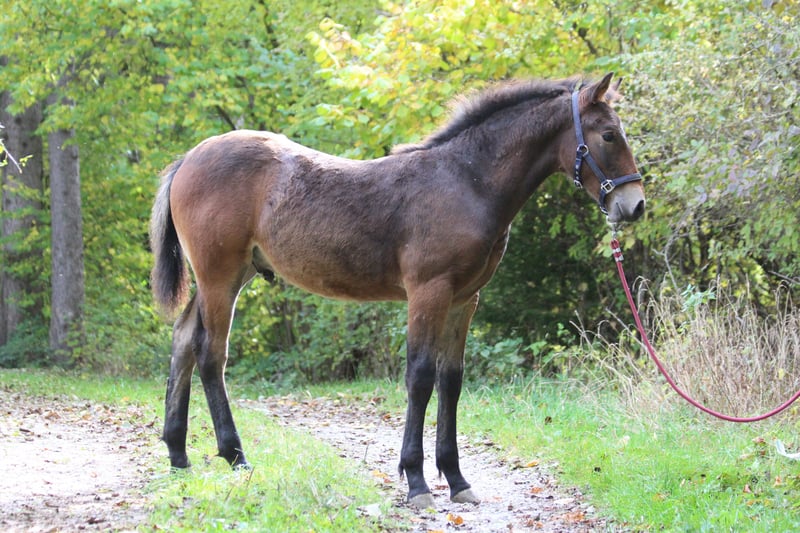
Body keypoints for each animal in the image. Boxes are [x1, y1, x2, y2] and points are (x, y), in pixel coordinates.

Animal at [149, 72, 645, 508]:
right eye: (608, 135)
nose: (634, 205)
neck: (465, 181)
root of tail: (187, 159)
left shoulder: (464, 300)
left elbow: (451, 380)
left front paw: (457, 479)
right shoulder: (429, 291)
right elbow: (420, 377)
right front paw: (417, 482)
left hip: (226, 277)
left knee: (183, 340)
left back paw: (178, 454)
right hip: (219, 277)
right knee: (211, 353)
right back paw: (235, 455)